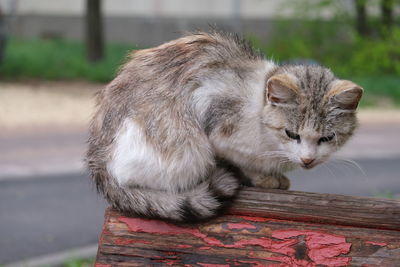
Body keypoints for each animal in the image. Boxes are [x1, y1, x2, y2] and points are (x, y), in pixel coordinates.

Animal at [86, 31, 362, 222]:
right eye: (291, 134)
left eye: (327, 138)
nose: (308, 159)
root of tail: (98, 159)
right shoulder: (216, 118)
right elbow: (240, 159)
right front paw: (263, 178)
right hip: (186, 150)